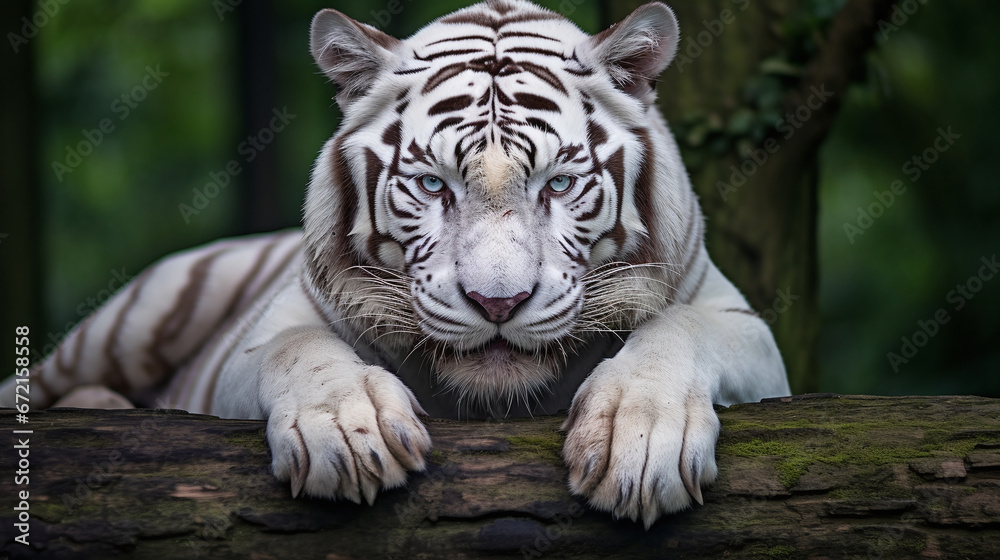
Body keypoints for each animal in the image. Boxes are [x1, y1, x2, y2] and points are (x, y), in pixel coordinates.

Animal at [1, 0, 790, 527]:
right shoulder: (260, 336)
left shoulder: (739, 323)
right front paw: (352, 434)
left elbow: (682, 329)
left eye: (560, 184)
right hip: (147, 311)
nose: (497, 303)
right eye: (433, 185)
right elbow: (297, 347)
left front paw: (639, 439)